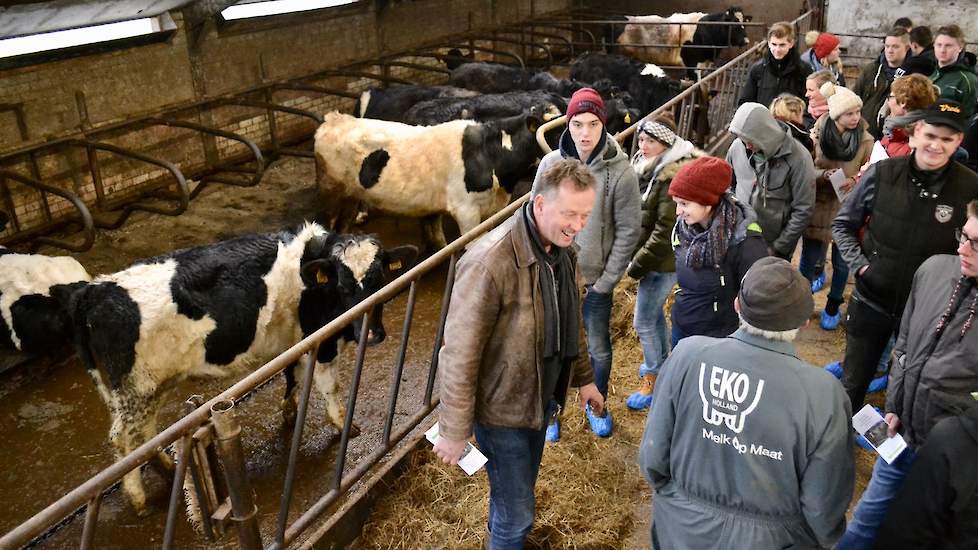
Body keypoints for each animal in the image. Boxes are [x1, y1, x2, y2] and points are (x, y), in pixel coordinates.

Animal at [65, 224, 416, 516]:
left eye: (380, 279)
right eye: (343, 286)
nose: (371, 334)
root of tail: (93, 290)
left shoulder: (294, 340)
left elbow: (293, 376)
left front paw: (290, 412)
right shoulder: (323, 338)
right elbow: (330, 386)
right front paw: (345, 425)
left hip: (138, 389)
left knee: (143, 435)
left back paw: (167, 469)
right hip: (136, 388)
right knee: (123, 440)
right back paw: (138, 499)